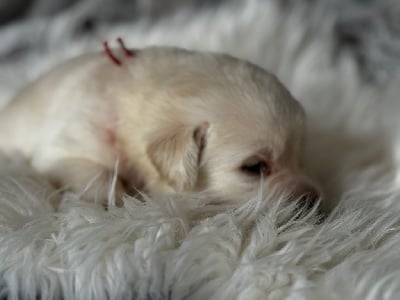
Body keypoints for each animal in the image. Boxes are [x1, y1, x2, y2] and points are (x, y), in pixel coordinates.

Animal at [0, 42, 320, 209]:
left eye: (301, 156)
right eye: (254, 167)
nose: (314, 201)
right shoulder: (67, 147)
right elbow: (98, 176)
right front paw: (118, 197)